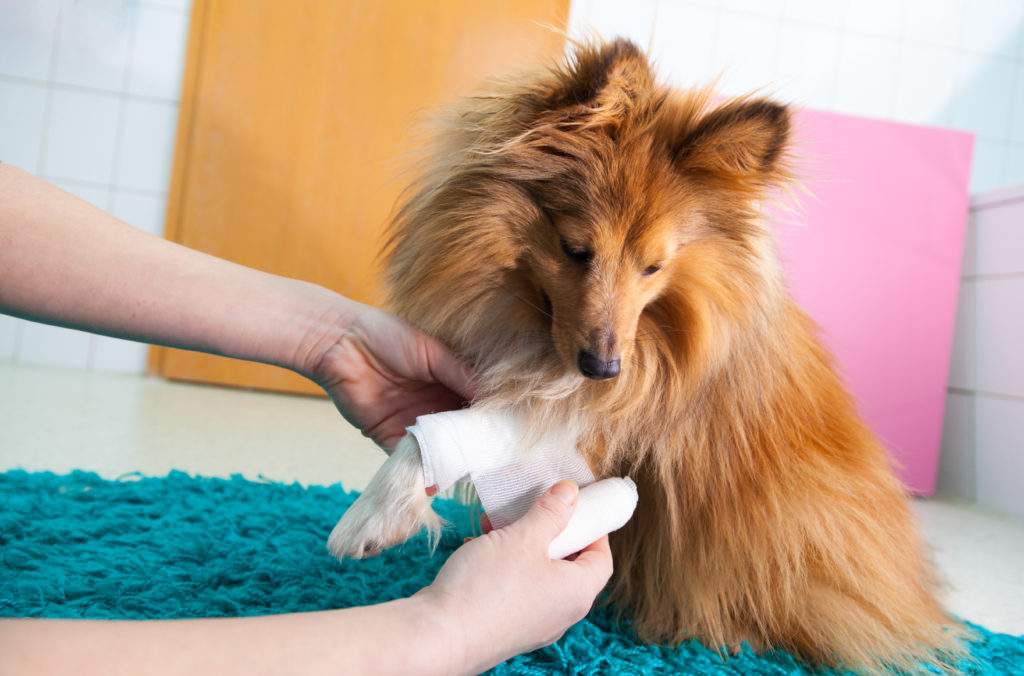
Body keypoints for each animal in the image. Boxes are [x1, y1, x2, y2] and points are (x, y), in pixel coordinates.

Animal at [327, 39, 966, 671]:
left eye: (654, 266)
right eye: (575, 249)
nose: (604, 369)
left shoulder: (601, 415)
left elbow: (444, 434)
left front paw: (371, 515)